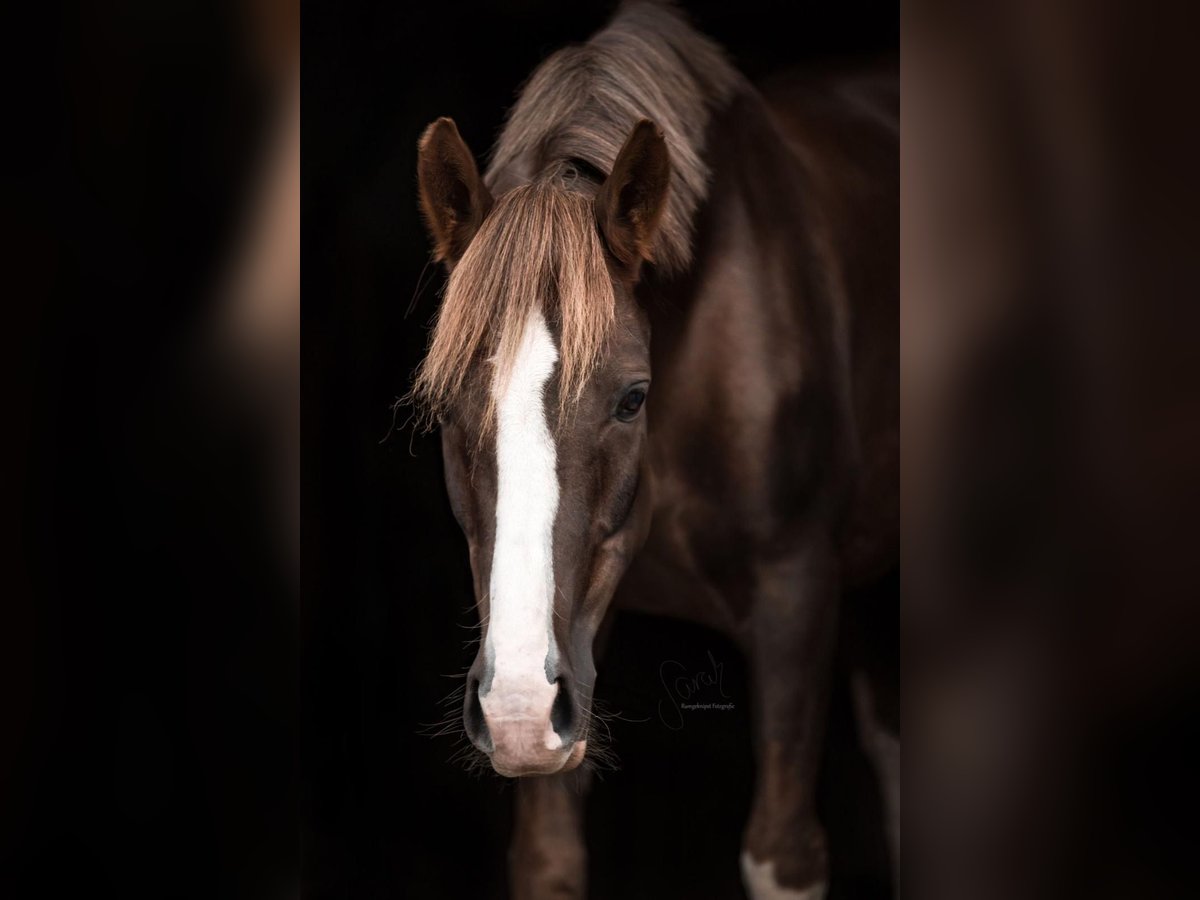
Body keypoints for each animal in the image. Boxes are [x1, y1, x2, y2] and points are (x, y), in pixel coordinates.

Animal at [410, 3, 892, 897]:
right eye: (447, 410)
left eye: (632, 397)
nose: (517, 709)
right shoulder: (571, 646)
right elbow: (549, 858)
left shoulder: (797, 597)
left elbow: (782, 852)